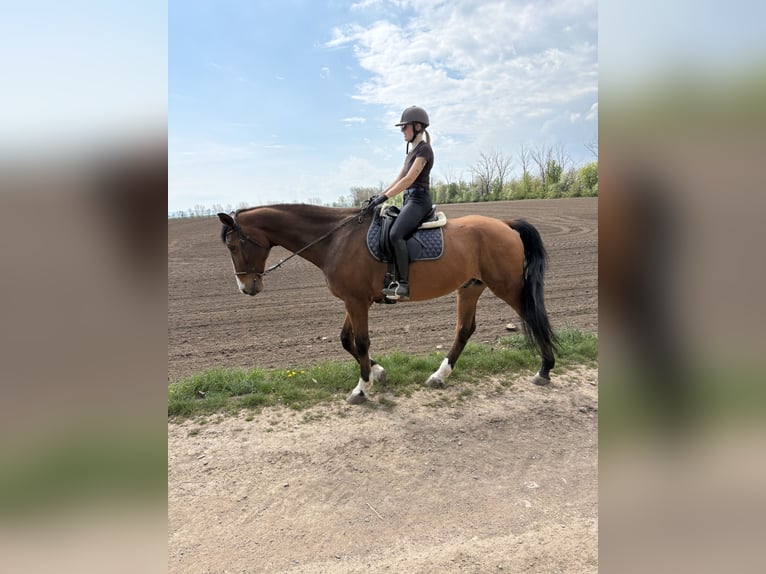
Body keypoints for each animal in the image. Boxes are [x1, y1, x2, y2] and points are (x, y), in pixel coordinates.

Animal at [217, 203, 557, 404]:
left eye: (233, 245)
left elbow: (361, 342)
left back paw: (544, 369)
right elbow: (346, 340)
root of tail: (506, 224)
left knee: (533, 317)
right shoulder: (352, 300)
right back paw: (439, 375)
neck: (335, 239)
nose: (247, 288)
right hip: (470, 287)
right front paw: (378, 372)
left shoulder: (357, 302)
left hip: (507, 287)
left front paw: (361, 388)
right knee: (464, 330)